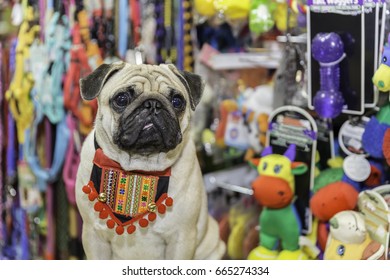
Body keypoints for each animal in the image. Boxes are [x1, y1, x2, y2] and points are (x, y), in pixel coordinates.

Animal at [75, 62, 225, 260]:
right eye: (121, 99)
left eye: (177, 101)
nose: (153, 104)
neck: (140, 168)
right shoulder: (94, 236)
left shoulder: (181, 238)